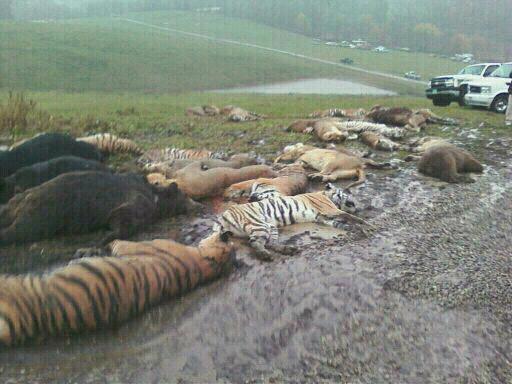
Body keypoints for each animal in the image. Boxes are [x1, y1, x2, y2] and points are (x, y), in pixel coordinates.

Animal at [214, 184, 362, 260]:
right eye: (345, 194)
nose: (356, 205)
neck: (325, 195)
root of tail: (223, 216)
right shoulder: (329, 209)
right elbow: (351, 217)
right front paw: (365, 226)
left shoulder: (322, 217)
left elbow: (340, 223)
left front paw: (352, 228)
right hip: (260, 225)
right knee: (255, 243)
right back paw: (265, 255)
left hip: (270, 227)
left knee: (271, 243)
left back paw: (288, 250)